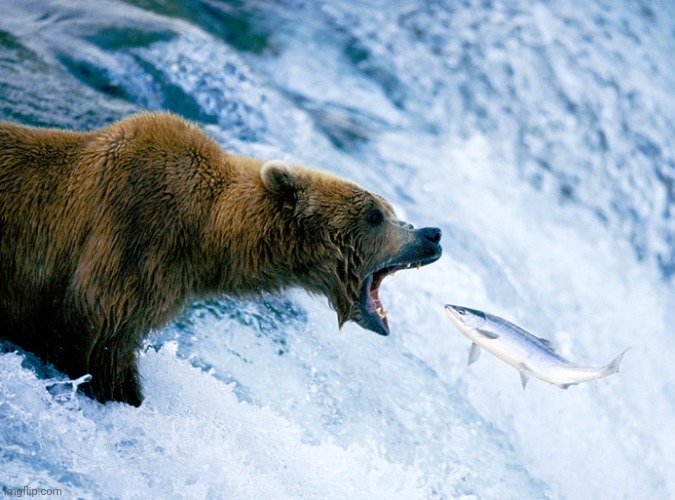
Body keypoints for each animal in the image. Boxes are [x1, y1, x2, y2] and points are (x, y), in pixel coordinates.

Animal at [0, 112, 442, 406]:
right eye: (375, 214)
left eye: (389, 209)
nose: (431, 234)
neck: (203, 232)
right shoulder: (127, 244)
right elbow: (90, 340)